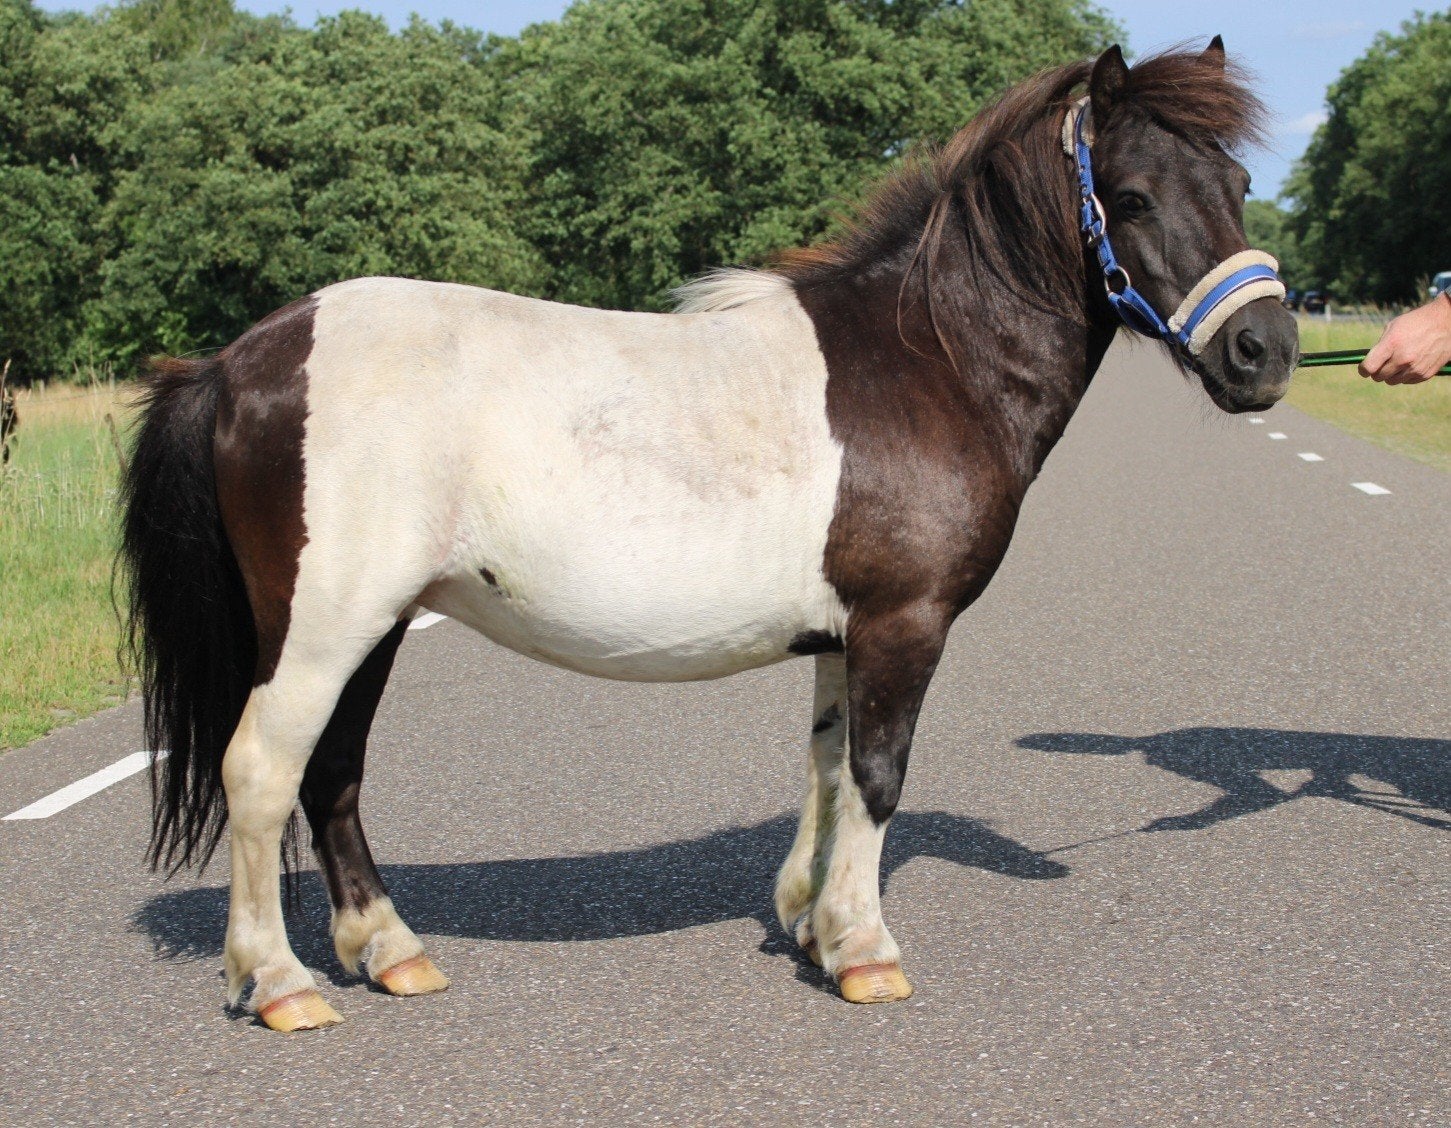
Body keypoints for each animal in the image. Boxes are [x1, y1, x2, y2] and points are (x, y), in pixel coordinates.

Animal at [120, 40, 1298, 1031]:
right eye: (1132, 196)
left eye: (1237, 187)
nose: (1264, 351)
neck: (925, 358)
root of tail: (241, 359)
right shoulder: (903, 624)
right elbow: (878, 775)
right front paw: (866, 952)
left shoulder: (841, 635)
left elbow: (826, 767)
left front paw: (812, 926)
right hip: (325, 627)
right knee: (262, 770)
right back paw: (281, 983)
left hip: (375, 626)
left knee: (333, 775)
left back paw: (390, 952)